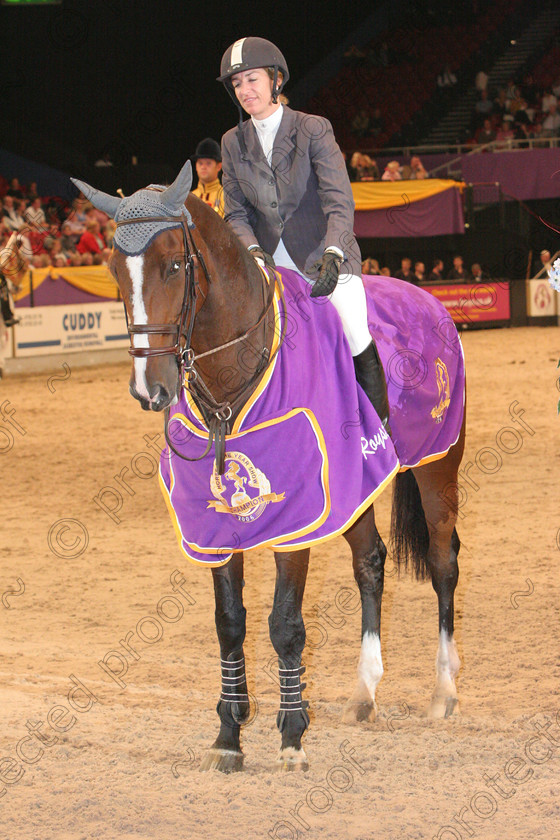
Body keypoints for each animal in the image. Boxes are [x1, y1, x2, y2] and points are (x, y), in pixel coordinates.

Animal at [72, 162, 466, 776]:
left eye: (175, 265)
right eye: (114, 270)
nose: (149, 389)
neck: (238, 369)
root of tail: (428, 301)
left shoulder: (298, 514)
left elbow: (284, 624)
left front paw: (292, 735)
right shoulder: (215, 521)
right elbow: (230, 622)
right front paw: (229, 734)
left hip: (437, 466)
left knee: (444, 563)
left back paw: (443, 691)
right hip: (355, 487)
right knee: (370, 564)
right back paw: (365, 692)